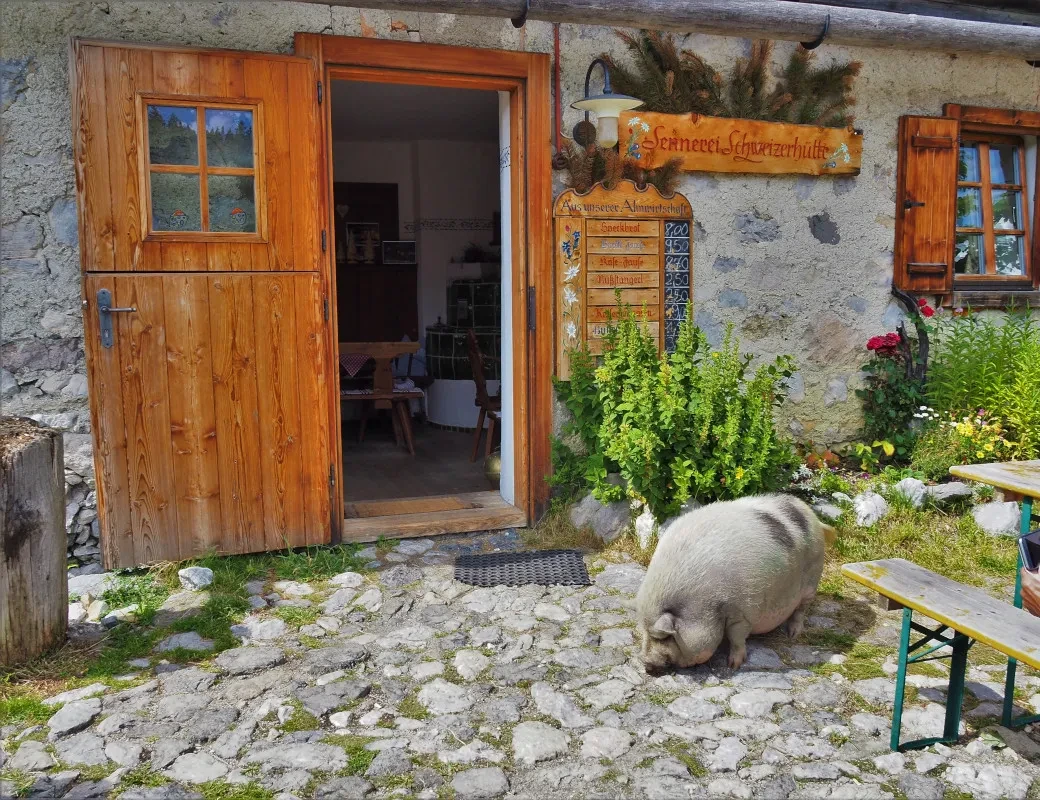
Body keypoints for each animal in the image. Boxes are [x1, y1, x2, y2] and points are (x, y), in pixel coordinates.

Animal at [632, 493, 836, 674]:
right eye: (644, 631)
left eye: (665, 637)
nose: (646, 664)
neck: (705, 605)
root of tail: (813, 517)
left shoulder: (742, 613)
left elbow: (736, 637)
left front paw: (733, 666)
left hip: (812, 578)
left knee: (801, 609)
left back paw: (793, 634)